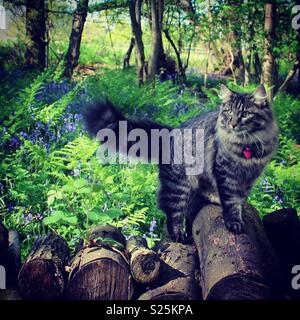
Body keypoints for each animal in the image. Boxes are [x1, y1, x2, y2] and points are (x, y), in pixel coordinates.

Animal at [83, 85, 278, 242]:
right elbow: (230, 200)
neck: (247, 145)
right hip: (179, 186)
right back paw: (180, 237)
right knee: (173, 215)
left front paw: (241, 212)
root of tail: (170, 133)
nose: (233, 124)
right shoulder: (225, 172)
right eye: (229, 112)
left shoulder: (250, 176)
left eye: (244, 114)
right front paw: (234, 222)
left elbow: (241, 199)